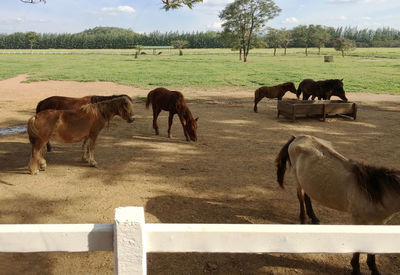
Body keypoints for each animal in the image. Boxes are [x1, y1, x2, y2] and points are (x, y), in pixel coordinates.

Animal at [276, 136, 400, 275]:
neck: (375, 193)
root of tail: (297, 137)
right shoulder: (358, 220)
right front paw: (356, 269)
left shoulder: (379, 223)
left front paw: (374, 269)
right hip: (297, 177)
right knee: (300, 196)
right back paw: (303, 219)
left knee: (307, 195)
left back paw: (314, 218)